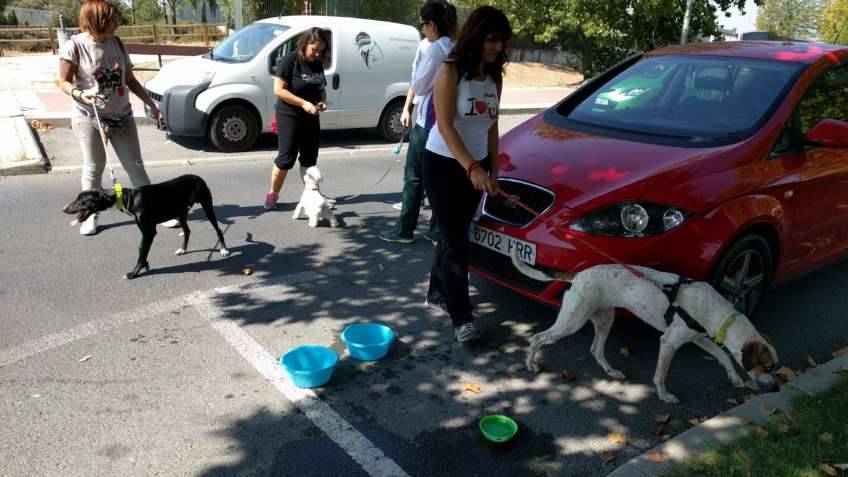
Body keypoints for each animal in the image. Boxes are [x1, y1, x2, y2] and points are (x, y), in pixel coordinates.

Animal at [62, 175, 232, 278]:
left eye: (81, 201)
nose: (64, 209)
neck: (126, 197)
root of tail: (197, 177)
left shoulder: (149, 232)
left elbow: (141, 252)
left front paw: (134, 272)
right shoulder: (145, 232)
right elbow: (142, 250)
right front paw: (144, 265)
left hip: (207, 207)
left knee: (218, 230)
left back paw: (223, 249)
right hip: (180, 213)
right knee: (187, 231)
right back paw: (182, 249)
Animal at [510, 249, 780, 402]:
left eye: (776, 369)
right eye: (767, 368)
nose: (778, 389)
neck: (720, 313)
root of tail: (577, 275)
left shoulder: (698, 337)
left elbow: (723, 356)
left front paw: (734, 378)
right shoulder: (670, 342)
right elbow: (661, 374)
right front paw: (664, 396)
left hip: (604, 319)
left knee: (596, 349)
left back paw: (612, 372)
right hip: (572, 321)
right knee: (536, 338)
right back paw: (530, 364)